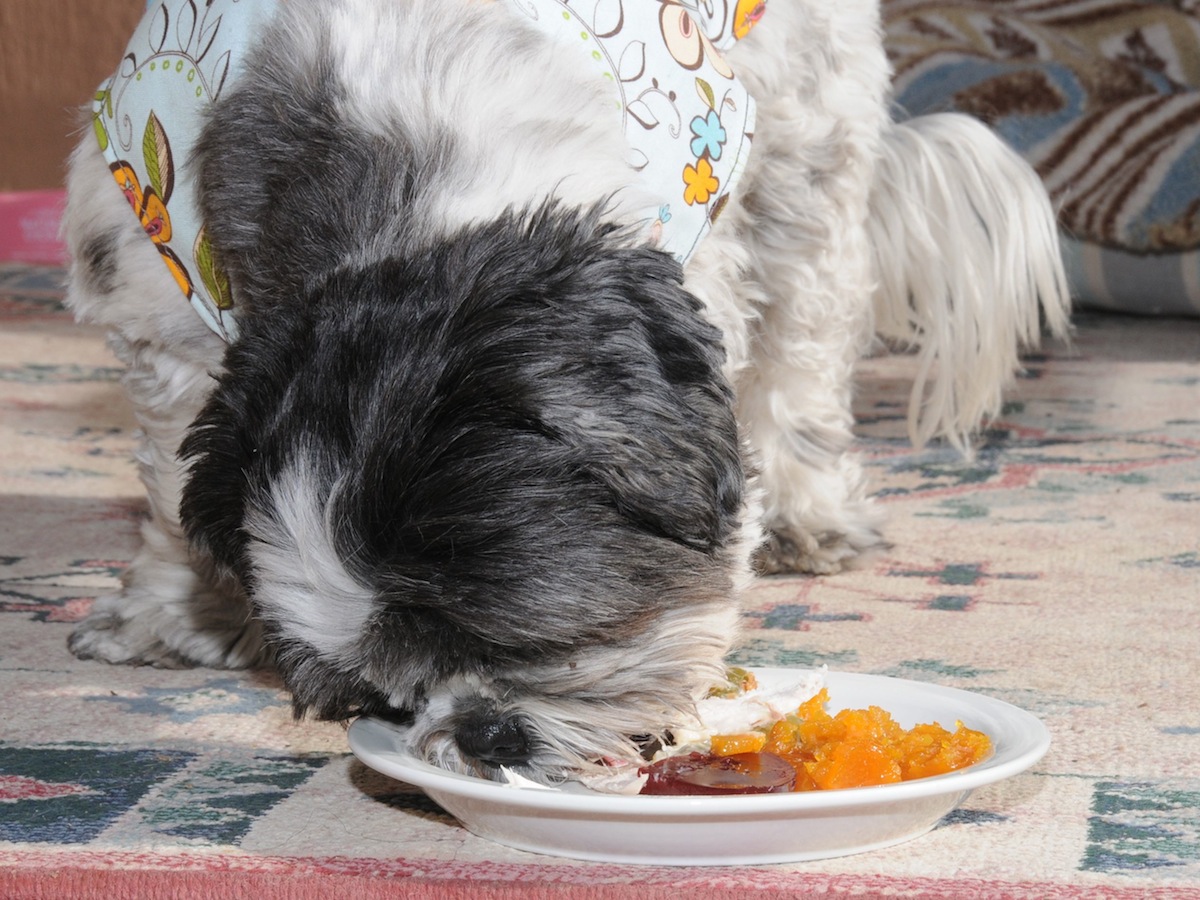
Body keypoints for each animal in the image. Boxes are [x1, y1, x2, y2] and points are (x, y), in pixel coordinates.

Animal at [63, 0, 1070, 782]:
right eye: (387, 696)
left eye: (529, 639)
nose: (482, 730)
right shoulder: (159, 276)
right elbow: (169, 478)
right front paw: (179, 610)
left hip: (806, 136)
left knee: (805, 334)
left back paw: (808, 510)